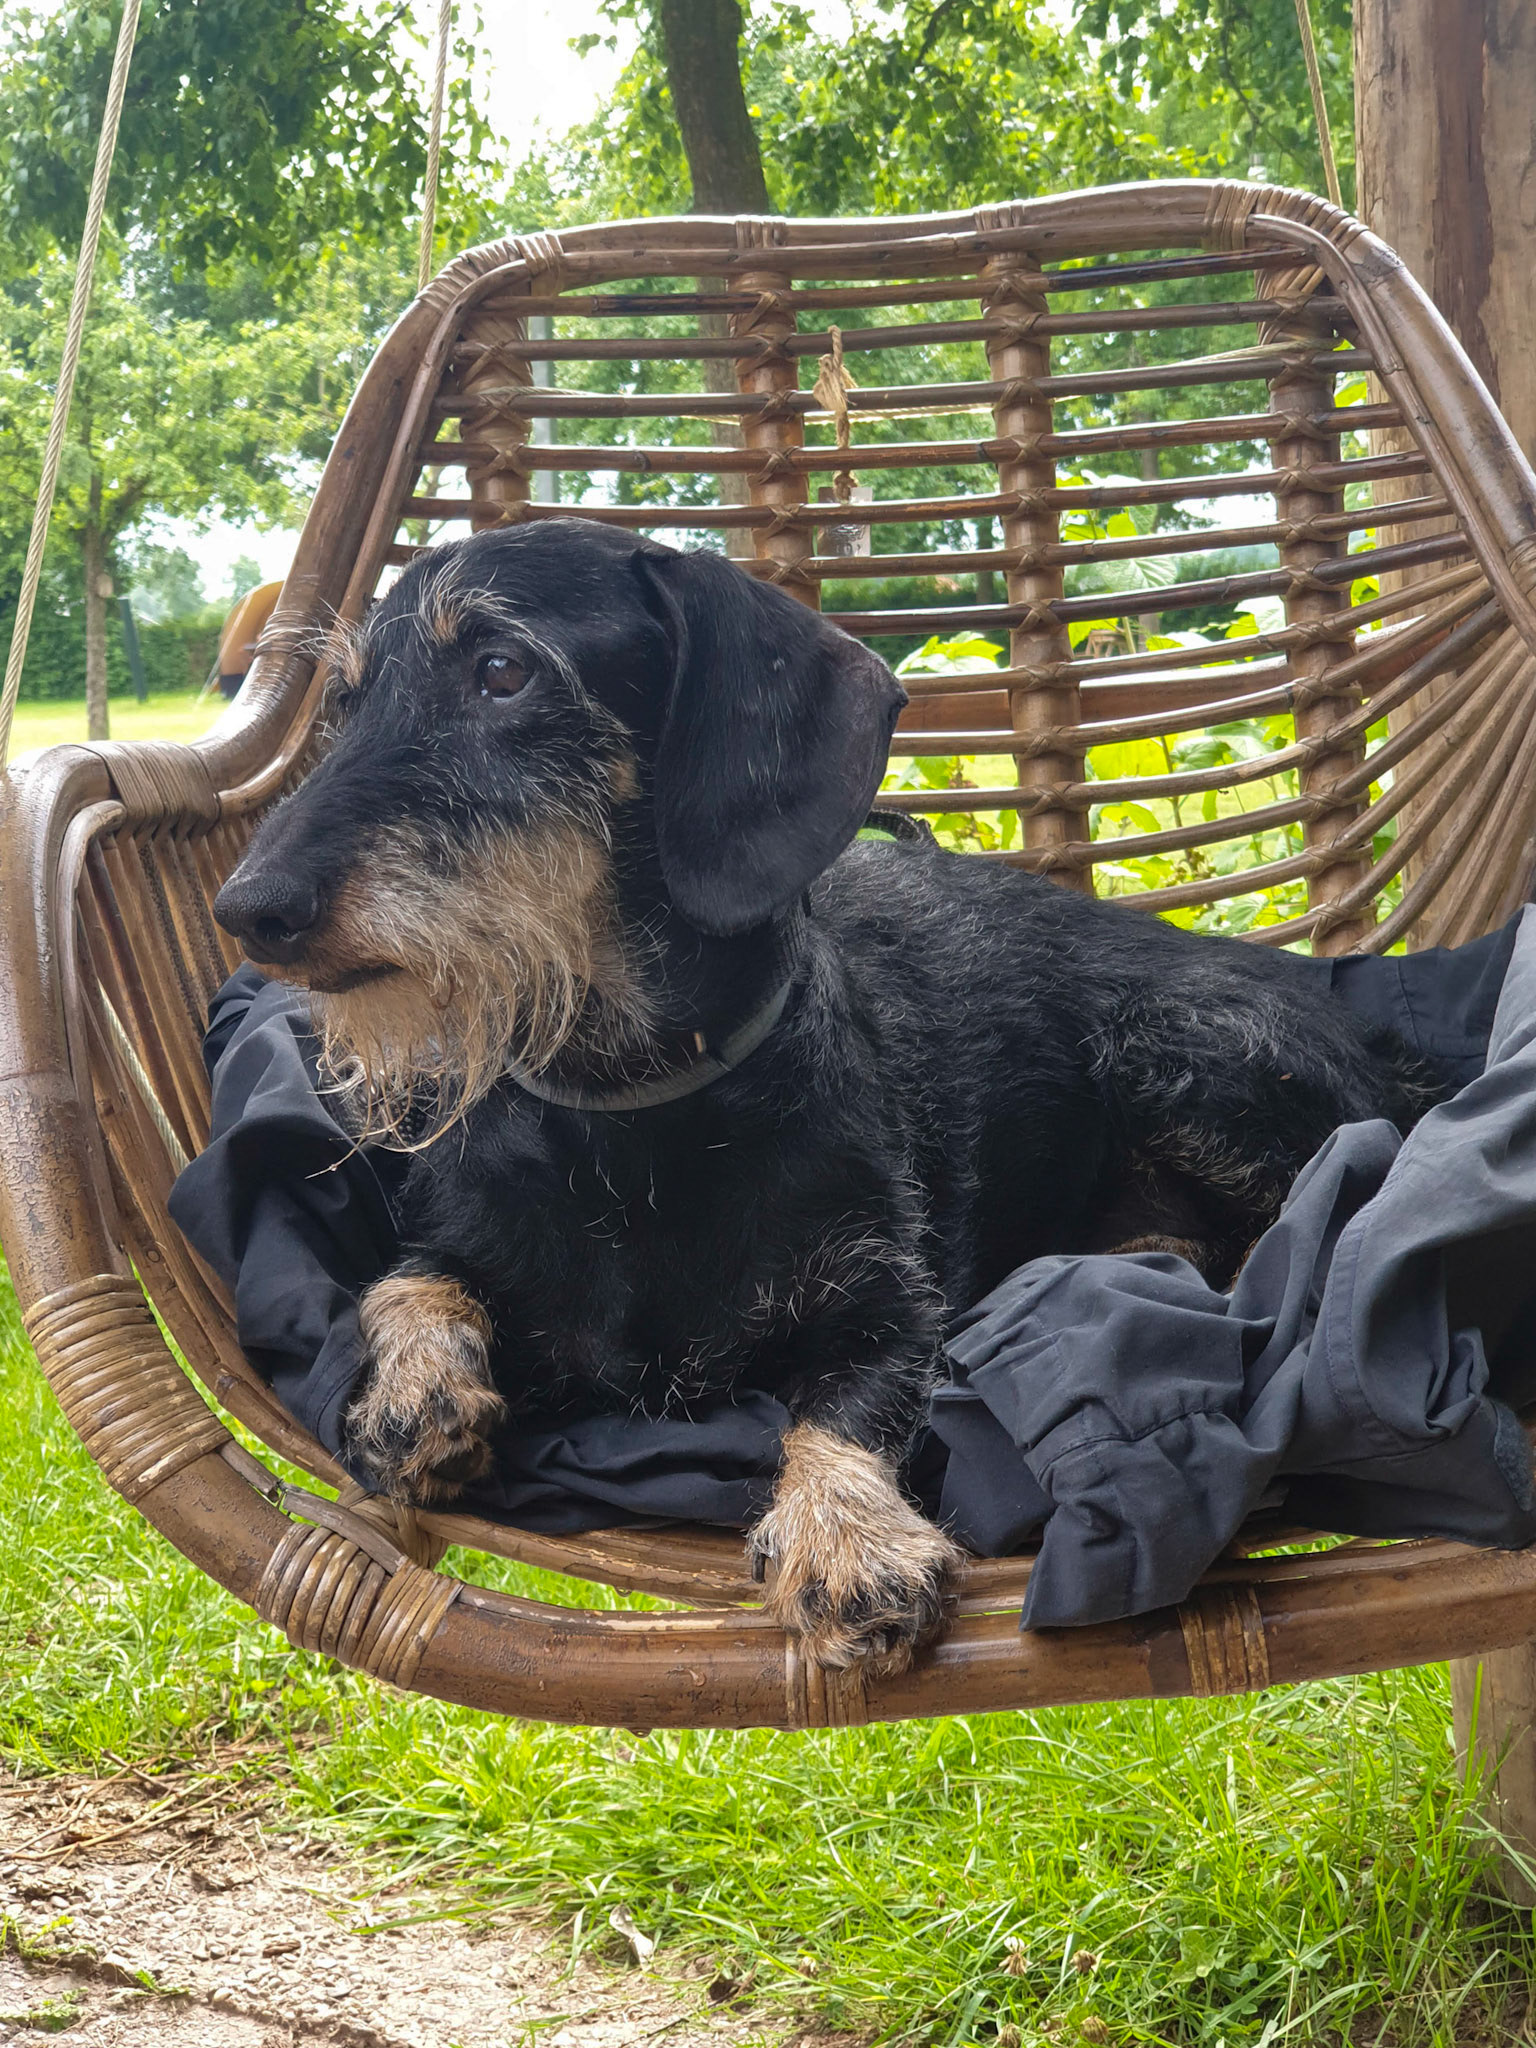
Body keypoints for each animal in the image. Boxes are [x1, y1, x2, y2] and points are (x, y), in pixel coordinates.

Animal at [213, 518, 1439, 1672]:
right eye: (346, 699)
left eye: (502, 669)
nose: (248, 909)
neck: (632, 1114)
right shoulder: (465, 1239)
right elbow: (410, 1281)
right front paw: (412, 1394)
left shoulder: (891, 1302)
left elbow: (842, 1411)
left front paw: (847, 1541)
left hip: (1181, 1047)